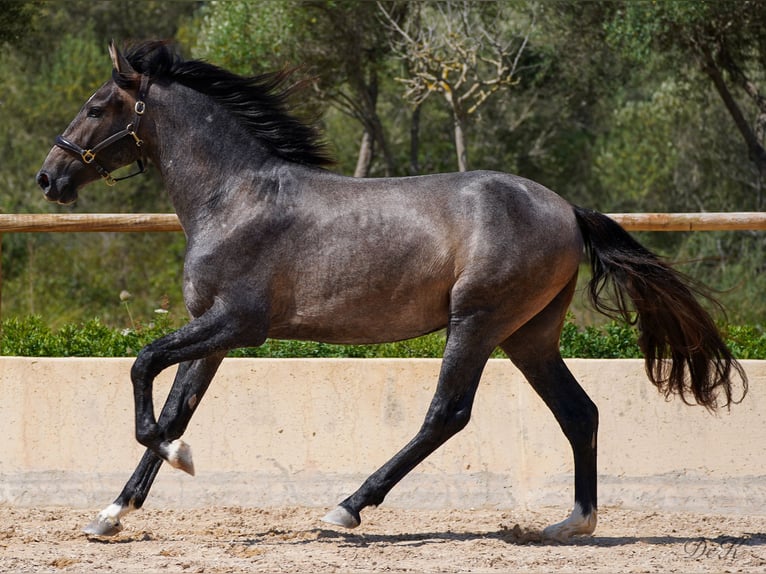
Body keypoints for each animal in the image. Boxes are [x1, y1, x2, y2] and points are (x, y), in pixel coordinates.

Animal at [36, 41, 747, 541]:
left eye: (97, 106)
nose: (49, 177)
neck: (233, 196)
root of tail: (568, 210)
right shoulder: (212, 333)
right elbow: (174, 406)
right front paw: (110, 514)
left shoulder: (238, 324)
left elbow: (144, 371)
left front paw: (180, 460)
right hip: (530, 336)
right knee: (579, 413)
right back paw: (572, 524)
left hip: (477, 321)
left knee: (447, 415)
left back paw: (348, 508)